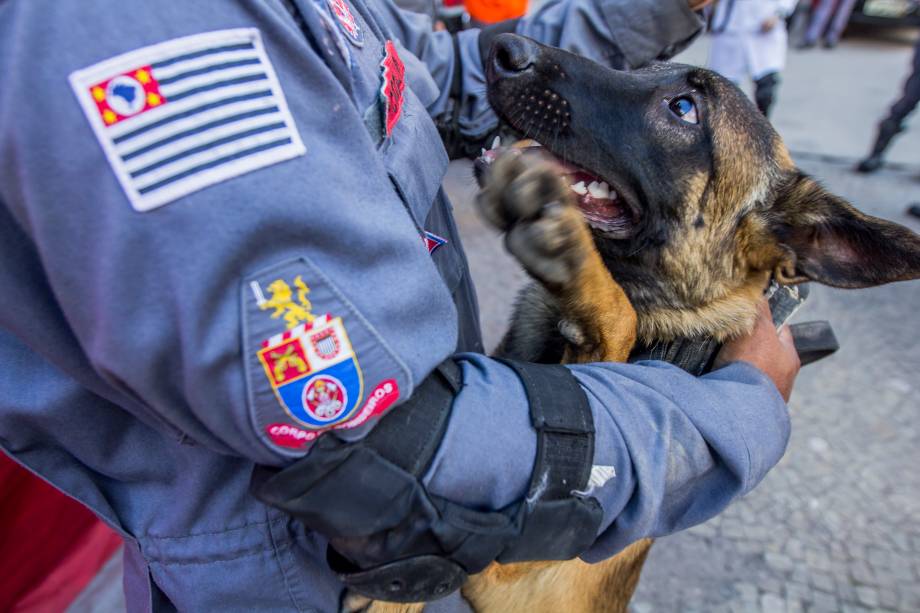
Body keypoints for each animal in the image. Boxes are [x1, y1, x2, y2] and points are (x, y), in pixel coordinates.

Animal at [352, 33, 920, 612]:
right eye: (643, 68)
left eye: (684, 109)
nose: (503, 47)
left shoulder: (527, 575)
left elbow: (616, 317)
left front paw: (570, 250)